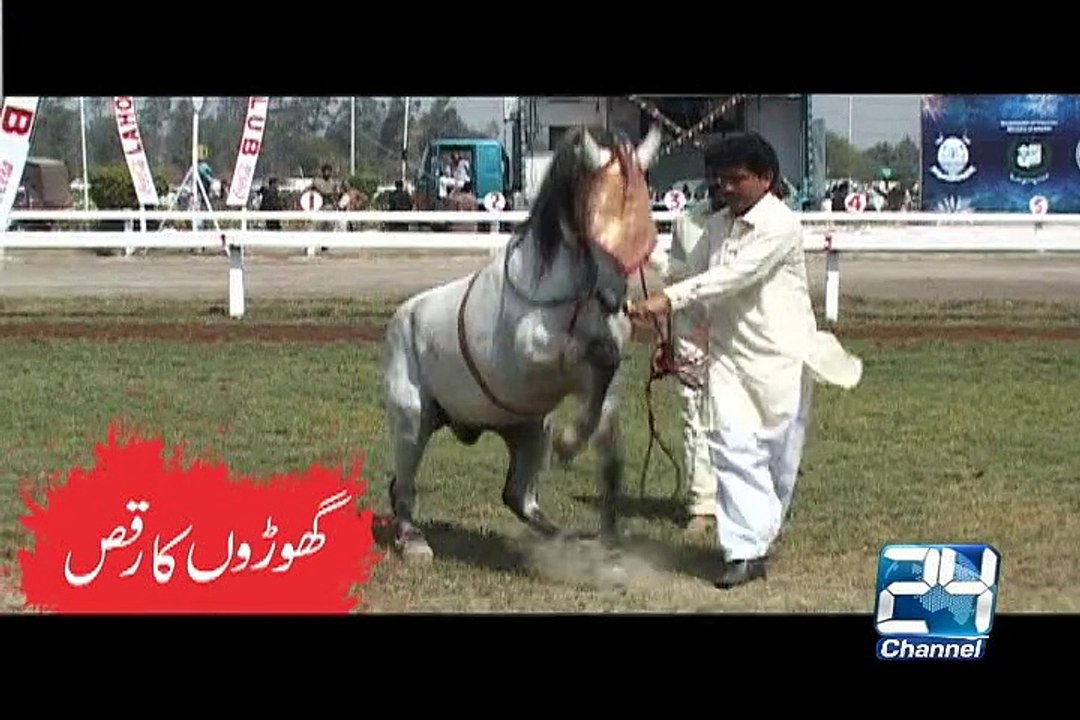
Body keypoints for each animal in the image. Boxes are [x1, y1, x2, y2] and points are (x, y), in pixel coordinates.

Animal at [380, 123, 663, 561]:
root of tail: (401, 317)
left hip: (529, 432)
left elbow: (608, 446)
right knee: (403, 484)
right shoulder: (531, 353)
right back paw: (413, 541)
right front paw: (570, 444)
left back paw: (562, 536)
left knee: (517, 496)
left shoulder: (597, 385)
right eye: (596, 234)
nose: (615, 302)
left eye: (646, 241)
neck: (569, 294)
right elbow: (599, 355)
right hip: (413, 419)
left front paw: (609, 541)